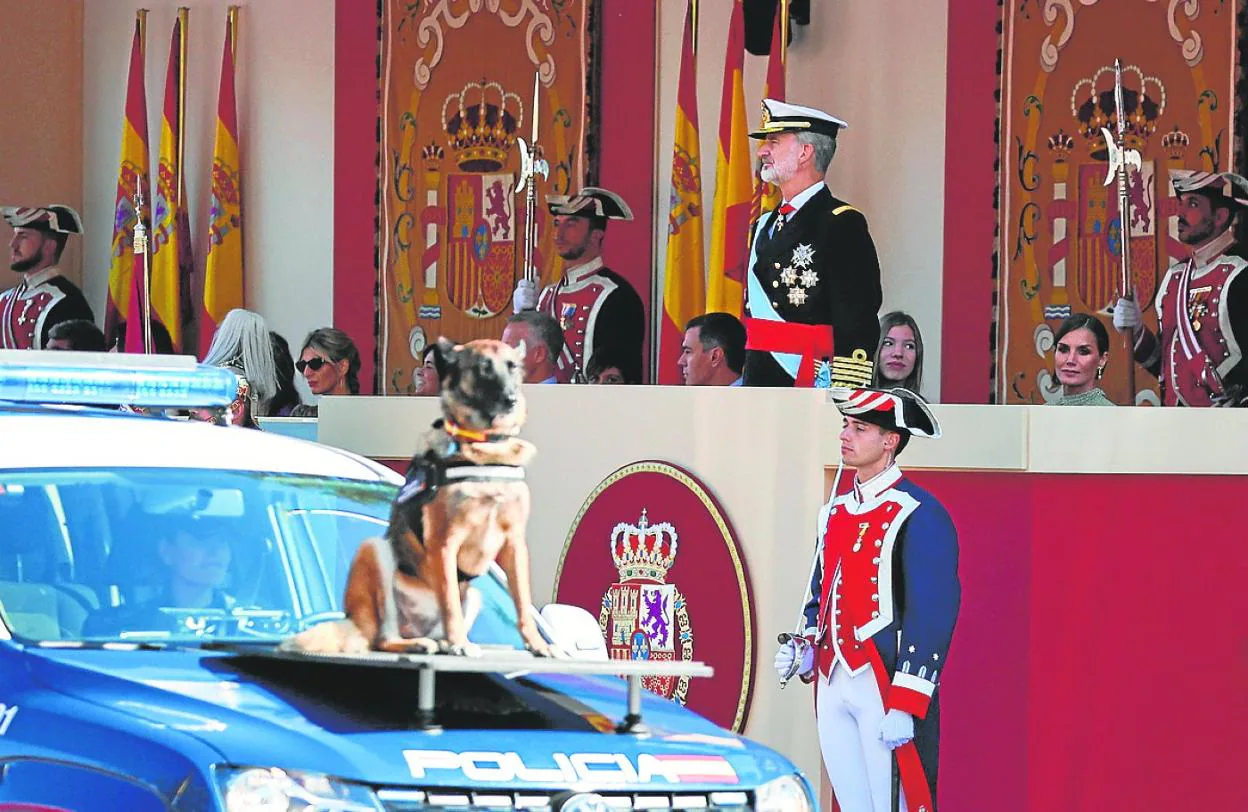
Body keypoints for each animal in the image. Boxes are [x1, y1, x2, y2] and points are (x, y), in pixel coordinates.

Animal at [289, 339, 554, 658]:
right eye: (483, 368)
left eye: (512, 367)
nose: (510, 399)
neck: (485, 449)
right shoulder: (444, 542)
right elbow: (450, 601)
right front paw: (461, 643)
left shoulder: (514, 544)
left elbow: (523, 603)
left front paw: (537, 644)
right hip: (374, 551)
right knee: (383, 639)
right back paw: (426, 642)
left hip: (475, 594)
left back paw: (441, 642)